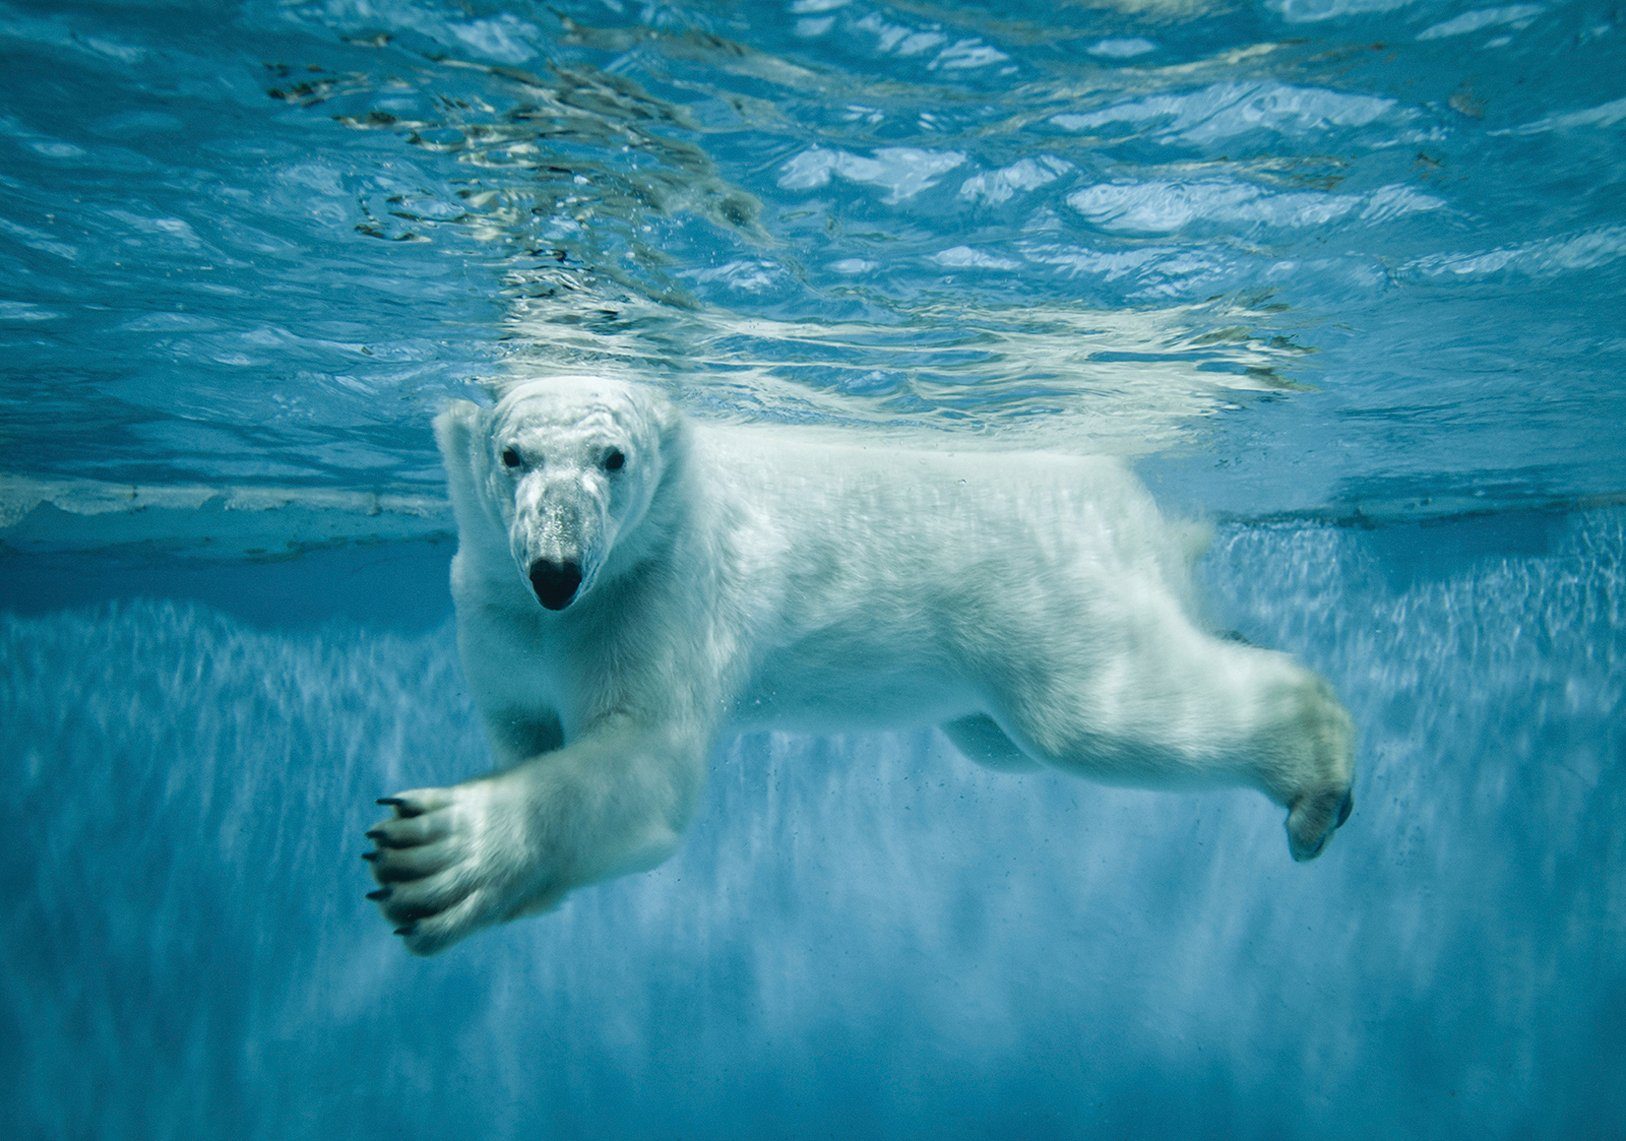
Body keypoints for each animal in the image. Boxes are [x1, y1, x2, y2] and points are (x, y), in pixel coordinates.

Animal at [362, 375, 1352, 955]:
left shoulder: (658, 590)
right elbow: (524, 729)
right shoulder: (493, 616)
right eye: (510, 453)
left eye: (614, 456)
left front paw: (436, 851)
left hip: (1040, 589)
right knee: (1004, 738)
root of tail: (1132, 501)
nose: (557, 570)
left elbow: (644, 763)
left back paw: (1317, 771)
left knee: (1092, 717)